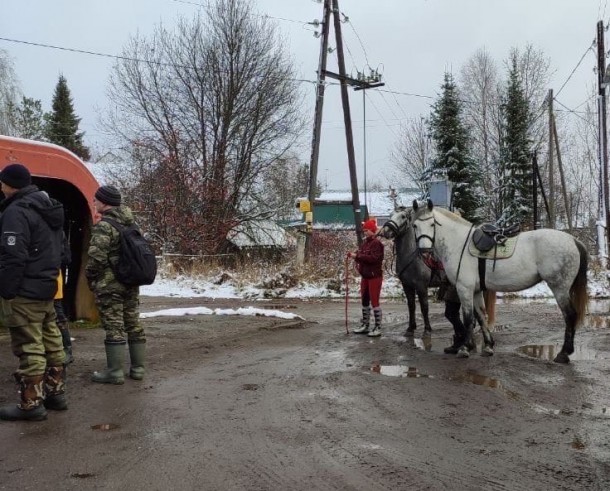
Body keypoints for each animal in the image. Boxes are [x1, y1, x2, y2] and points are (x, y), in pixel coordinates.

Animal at [410, 200, 588, 366]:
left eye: (432, 224)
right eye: (414, 225)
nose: (424, 251)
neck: (459, 244)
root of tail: (573, 240)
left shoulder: (464, 288)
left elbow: (468, 319)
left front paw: (465, 348)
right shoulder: (476, 290)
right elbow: (481, 316)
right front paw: (488, 346)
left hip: (560, 288)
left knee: (570, 315)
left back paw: (564, 353)